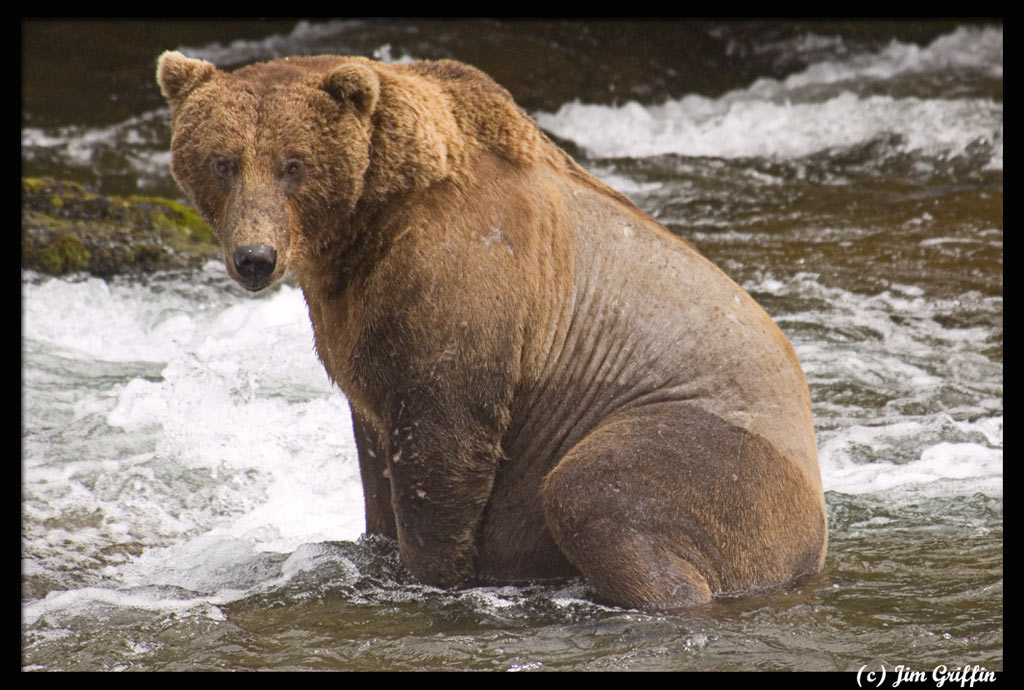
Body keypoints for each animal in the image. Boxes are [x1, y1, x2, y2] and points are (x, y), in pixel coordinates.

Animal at [155, 49, 823, 606]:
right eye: (223, 161)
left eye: (293, 164)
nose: (255, 257)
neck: (368, 223)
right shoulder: (355, 320)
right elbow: (374, 448)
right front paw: (375, 547)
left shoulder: (467, 281)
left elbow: (443, 441)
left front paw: (431, 574)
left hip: (714, 452)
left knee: (596, 490)